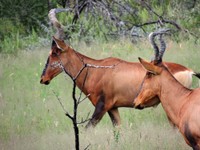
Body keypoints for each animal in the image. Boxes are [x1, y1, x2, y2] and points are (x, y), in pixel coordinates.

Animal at [39, 8, 199, 127]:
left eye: (54, 52)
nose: (43, 79)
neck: (96, 70)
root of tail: (189, 70)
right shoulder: (113, 108)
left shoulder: (101, 107)